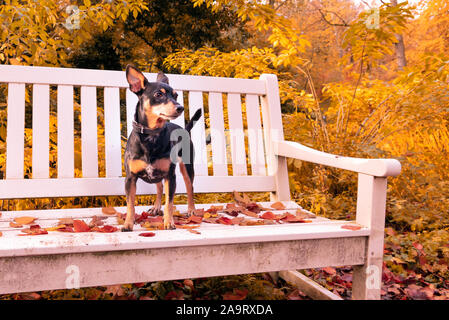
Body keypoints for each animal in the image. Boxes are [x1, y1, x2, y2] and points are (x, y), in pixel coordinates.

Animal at [121, 64, 200, 230]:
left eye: (176, 95)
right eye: (158, 94)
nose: (180, 107)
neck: (151, 136)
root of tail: (185, 129)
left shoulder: (171, 176)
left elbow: (169, 203)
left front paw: (169, 222)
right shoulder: (130, 178)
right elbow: (130, 205)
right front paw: (128, 224)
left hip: (187, 167)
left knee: (190, 188)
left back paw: (191, 210)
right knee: (159, 188)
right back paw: (156, 207)